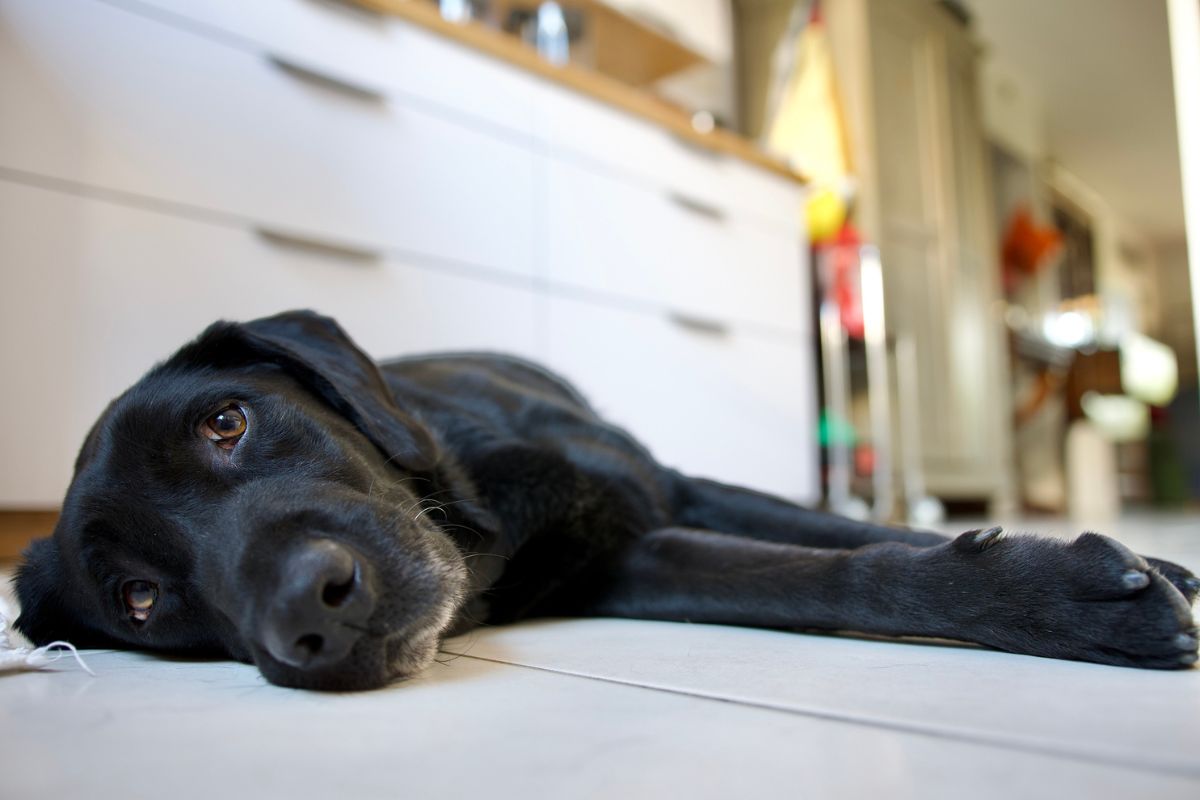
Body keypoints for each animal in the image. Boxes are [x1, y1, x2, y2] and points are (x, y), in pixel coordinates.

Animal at [11, 311, 1200, 690]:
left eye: (227, 422)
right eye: (140, 600)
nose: (312, 612)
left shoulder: (664, 486)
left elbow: (851, 534)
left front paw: (1111, 571)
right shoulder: (644, 556)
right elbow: (829, 577)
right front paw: (1063, 593)